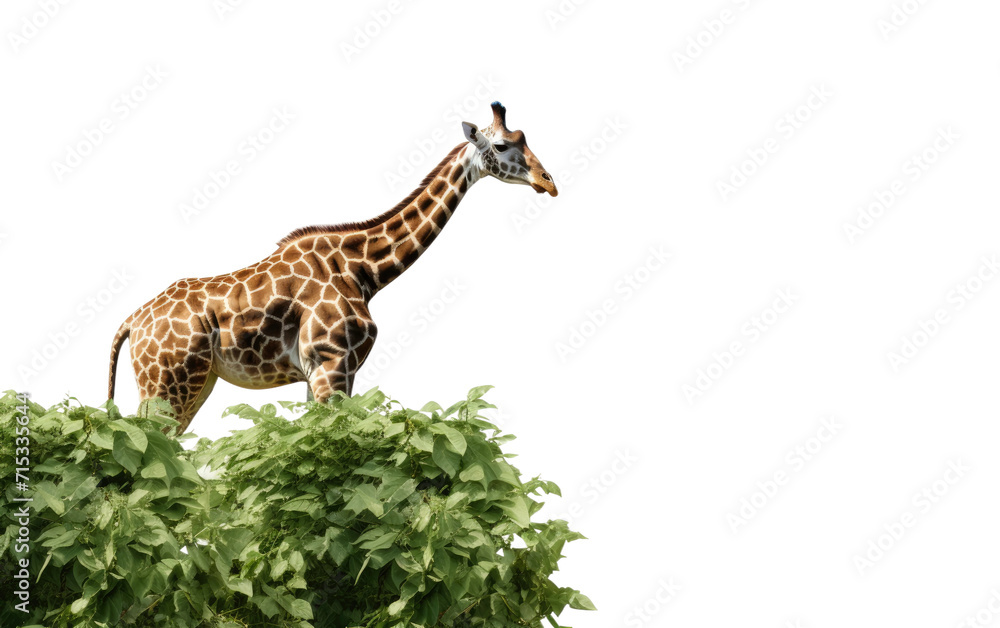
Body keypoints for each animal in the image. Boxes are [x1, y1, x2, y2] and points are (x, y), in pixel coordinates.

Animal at [107, 102, 557, 433]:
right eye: (502, 146)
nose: (548, 181)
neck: (363, 271)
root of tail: (132, 321)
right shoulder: (330, 363)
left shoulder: (329, 372)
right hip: (169, 383)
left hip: (195, 383)